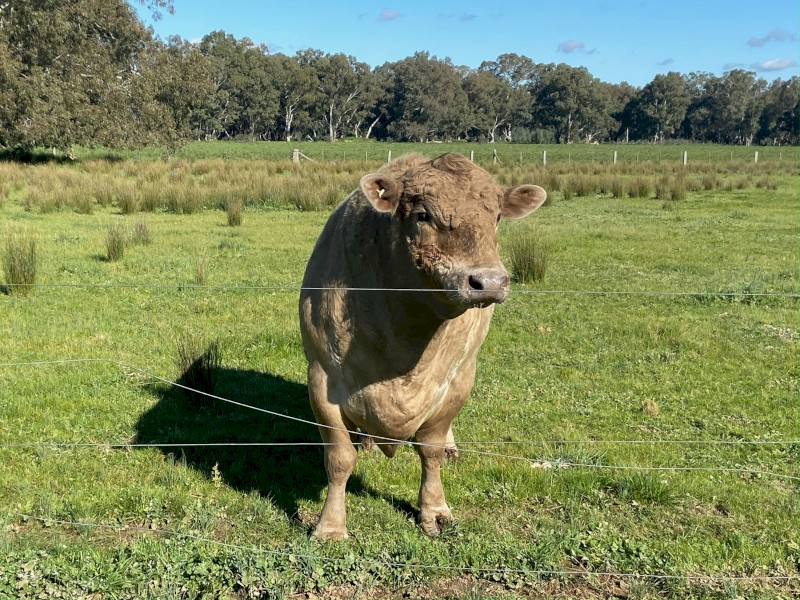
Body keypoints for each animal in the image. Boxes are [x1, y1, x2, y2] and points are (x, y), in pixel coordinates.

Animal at [299, 153, 547, 540]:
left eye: (496, 217)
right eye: (423, 215)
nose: (488, 281)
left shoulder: (458, 381)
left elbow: (430, 449)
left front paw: (434, 511)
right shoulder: (322, 378)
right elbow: (339, 458)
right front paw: (330, 526)